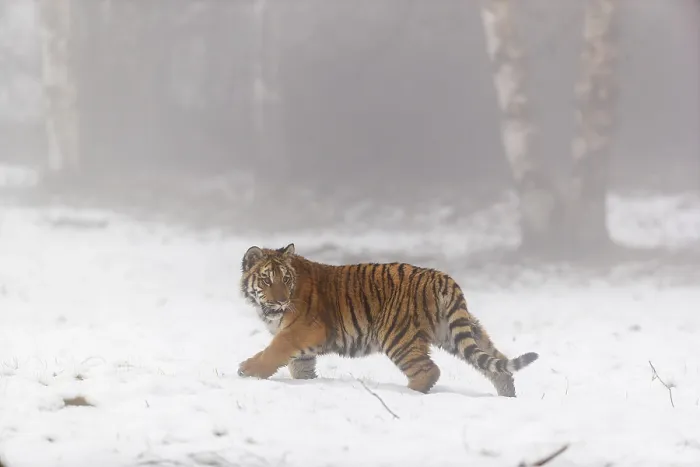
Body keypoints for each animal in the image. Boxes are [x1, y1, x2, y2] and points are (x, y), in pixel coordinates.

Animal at [237, 243, 539, 397]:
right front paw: (306, 383)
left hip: (396, 336)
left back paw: (407, 395)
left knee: (428, 370)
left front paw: (247, 371)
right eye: (267, 280)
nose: (280, 301)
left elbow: (275, 350)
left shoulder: (303, 330)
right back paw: (507, 395)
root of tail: (441, 277)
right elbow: (299, 366)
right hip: (457, 331)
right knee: (496, 362)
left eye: (285, 279)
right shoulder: (303, 346)